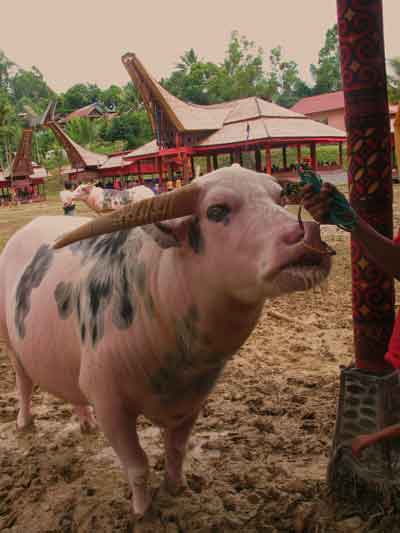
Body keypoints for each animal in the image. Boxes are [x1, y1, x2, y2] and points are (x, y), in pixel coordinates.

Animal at [0, 165, 332, 516]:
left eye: (279, 198)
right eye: (216, 211)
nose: (308, 235)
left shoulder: (192, 402)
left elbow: (176, 451)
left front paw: (176, 488)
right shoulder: (109, 404)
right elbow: (137, 465)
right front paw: (143, 511)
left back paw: (86, 423)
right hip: (11, 343)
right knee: (24, 384)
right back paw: (25, 422)